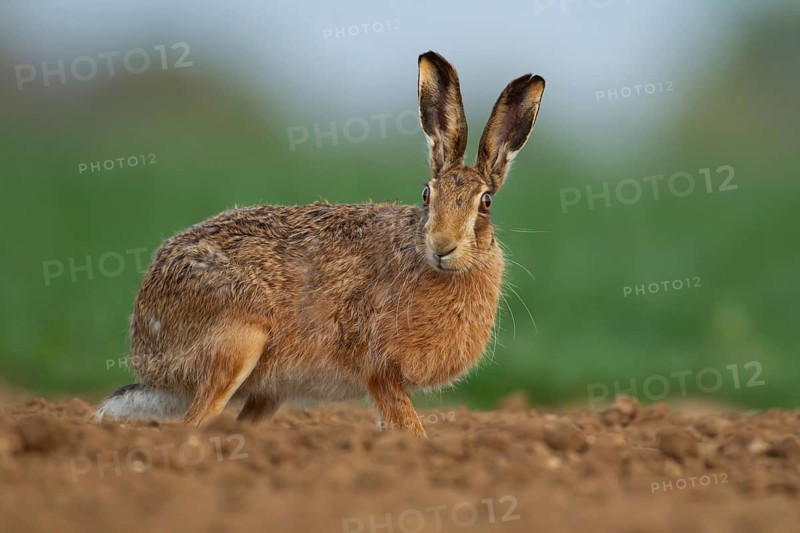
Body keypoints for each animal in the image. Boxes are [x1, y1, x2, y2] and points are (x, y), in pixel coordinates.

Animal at [94, 51, 545, 437]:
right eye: (426, 194)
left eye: (485, 203)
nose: (442, 246)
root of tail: (144, 341)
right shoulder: (378, 370)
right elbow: (409, 429)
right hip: (238, 341)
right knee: (191, 424)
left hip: (269, 389)